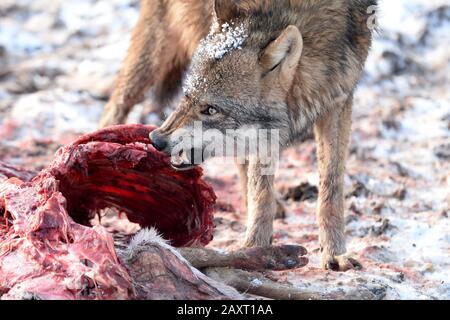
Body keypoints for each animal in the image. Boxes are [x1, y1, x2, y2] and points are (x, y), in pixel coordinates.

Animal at [100, 0, 378, 272]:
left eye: (210, 109)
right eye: (187, 96)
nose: (156, 140)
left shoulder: (338, 99)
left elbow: (331, 187)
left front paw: (335, 253)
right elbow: (260, 190)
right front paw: (256, 248)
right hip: (152, 52)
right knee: (116, 104)